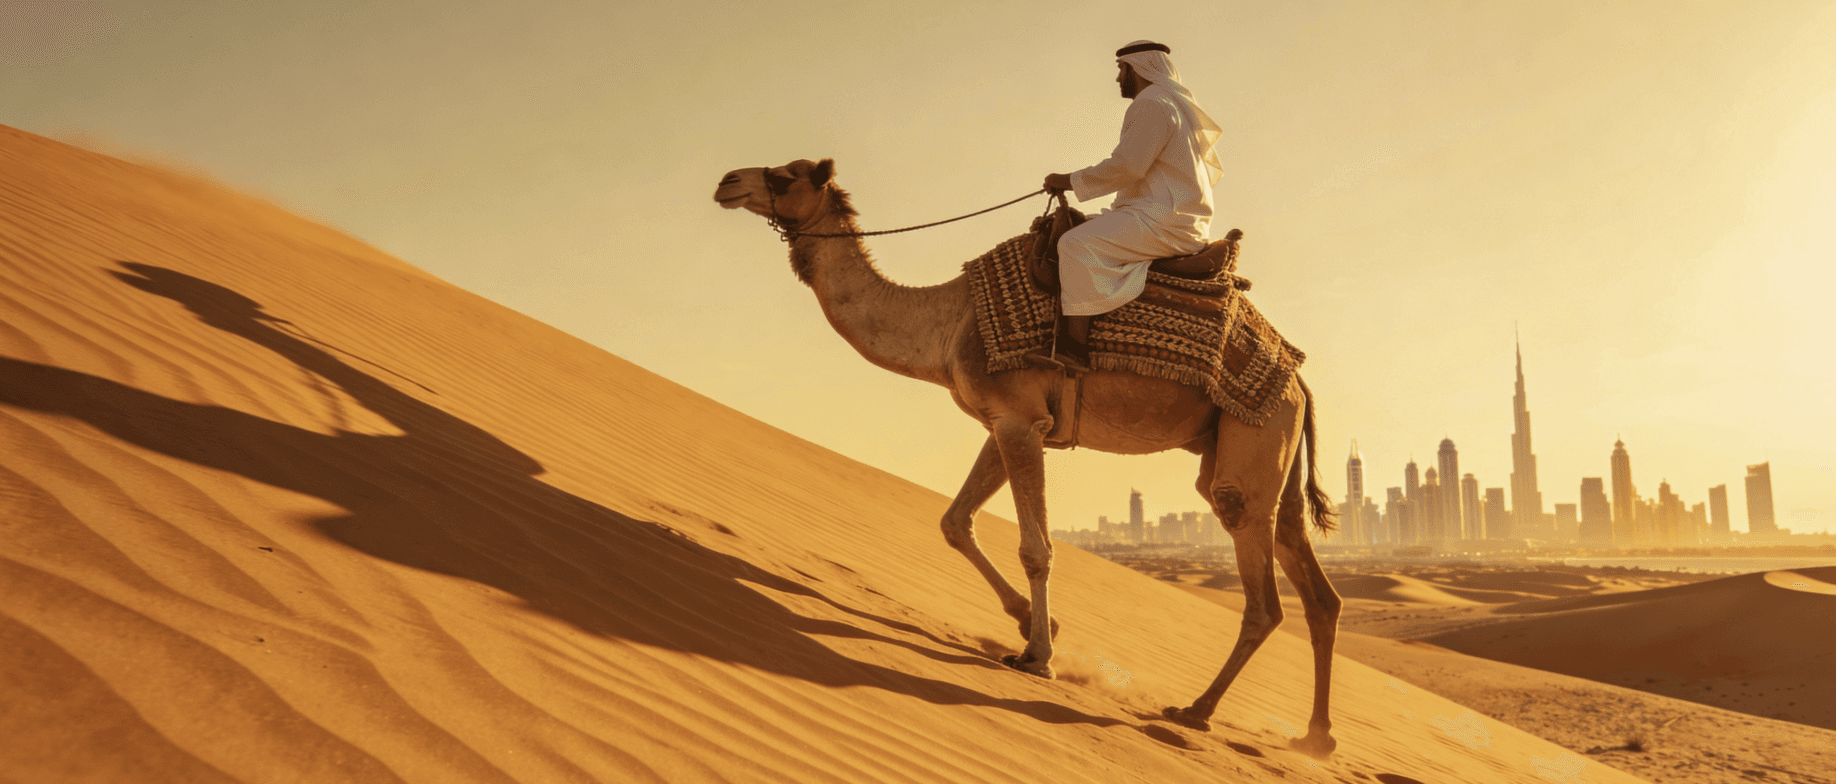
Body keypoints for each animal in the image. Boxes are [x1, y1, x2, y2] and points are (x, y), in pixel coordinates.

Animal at [714, 158, 1343, 758]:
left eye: (787, 176)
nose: (727, 181)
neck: (950, 322)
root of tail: (1298, 379)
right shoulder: (1003, 422)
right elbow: (954, 522)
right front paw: (1035, 625)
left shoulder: (1021, 420)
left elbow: (1036, 549)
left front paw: (1038, 655)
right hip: (1260, 449)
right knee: (1316, 587)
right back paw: (1315, 737)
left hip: (1253, 439)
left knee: (1261, 589)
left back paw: (1196, 711)